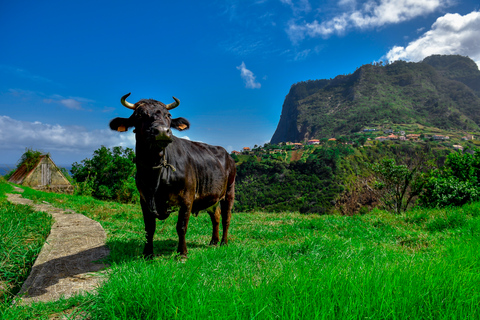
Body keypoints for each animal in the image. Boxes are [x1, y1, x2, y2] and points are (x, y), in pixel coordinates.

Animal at [109, 93, 236, 258]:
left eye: (168, 115)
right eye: (139, 115)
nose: (162, 131)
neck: (155, 173)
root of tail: (227, 154)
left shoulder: (187, 197)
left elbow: (181, 226)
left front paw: (182, 253)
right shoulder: (144, 199)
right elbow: (149, 228)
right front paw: (148, 254)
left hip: (229, 191)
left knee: (226, 217)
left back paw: (223, 243)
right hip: (211, 196)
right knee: (216, 216)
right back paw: (213, 241)